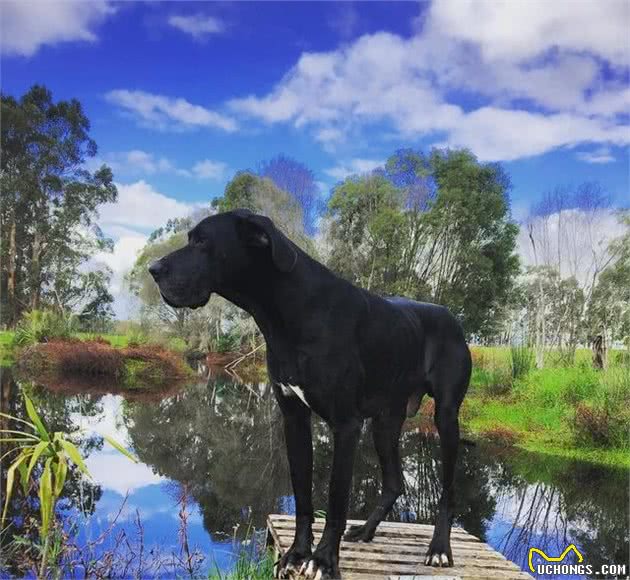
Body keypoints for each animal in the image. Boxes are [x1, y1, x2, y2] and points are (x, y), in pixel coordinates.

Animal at [151, 210, 472, 580]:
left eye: (203, 241)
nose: (153, 269)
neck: (289, 312)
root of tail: (450, 315)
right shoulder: (294, 419)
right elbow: (303, 497)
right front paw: (296, 553)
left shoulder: (346, 426)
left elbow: (335, 502)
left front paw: (323, 560)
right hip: (385, 422)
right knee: (394, 483)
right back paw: (366, 530)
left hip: (445, 418)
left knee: (448, 491)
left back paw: (439, 549)